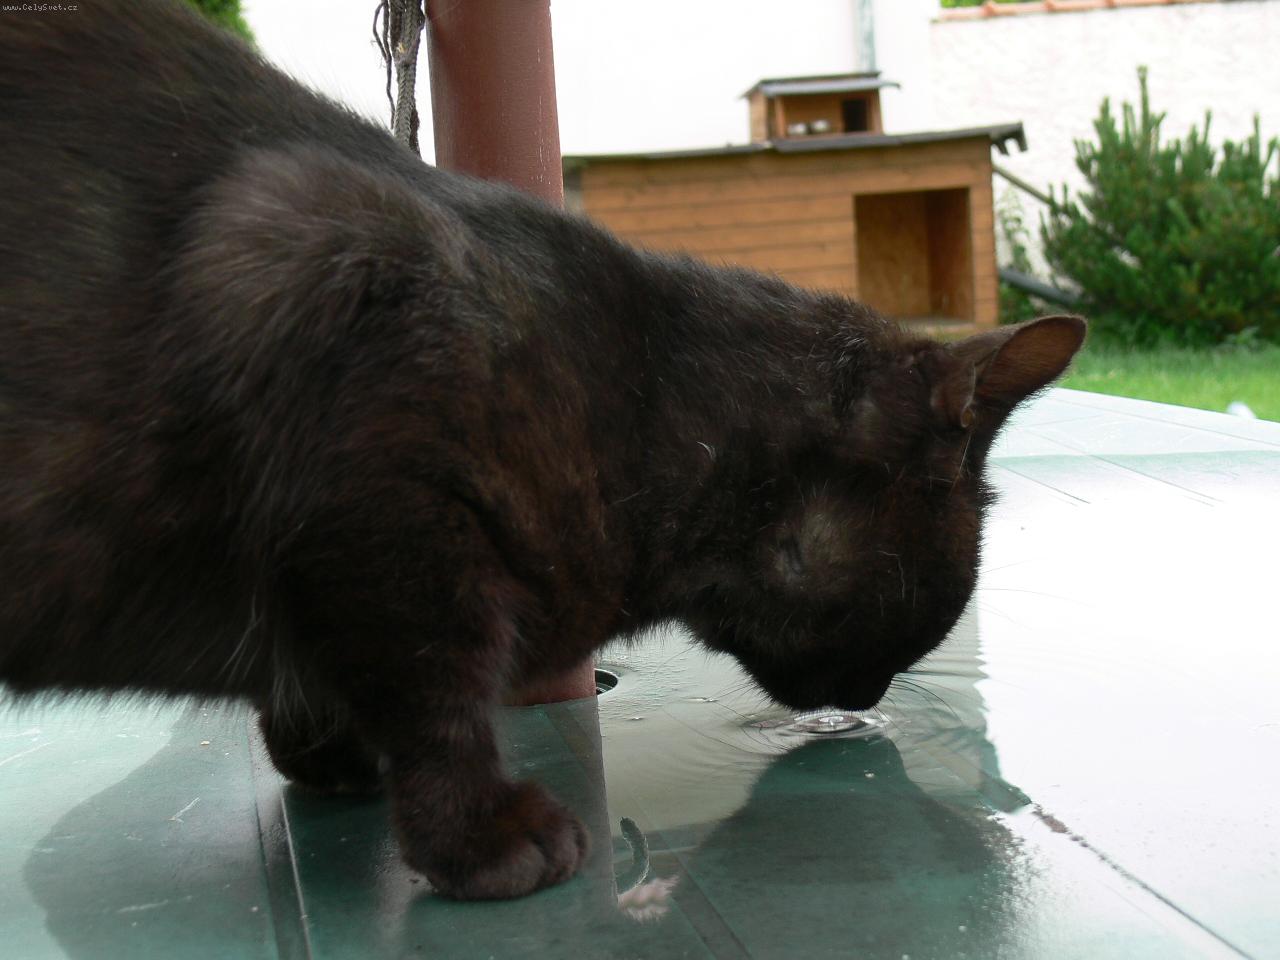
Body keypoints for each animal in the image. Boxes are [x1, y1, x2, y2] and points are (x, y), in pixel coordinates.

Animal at [0, 0, 1084, 899]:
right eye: (933, 608)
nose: (864, 702)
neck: (650, 415)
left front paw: (327, 753)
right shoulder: (376, 499)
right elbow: (436, 692)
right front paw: (482, 835)